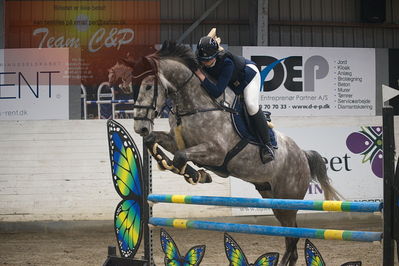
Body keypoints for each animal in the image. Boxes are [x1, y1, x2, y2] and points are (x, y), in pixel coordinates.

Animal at [111, 40, 342, 264]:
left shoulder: (216, 152)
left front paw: (197, 175)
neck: (194, 105)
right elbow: (157, 143)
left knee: (293, 237)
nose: (140, 128)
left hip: (287, 199)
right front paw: (168, 163)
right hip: (272, 197)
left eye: (149, 86)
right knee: (290, 237)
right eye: (131, 88)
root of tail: (302, 154)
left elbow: (181, 158)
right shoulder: (177, 142)